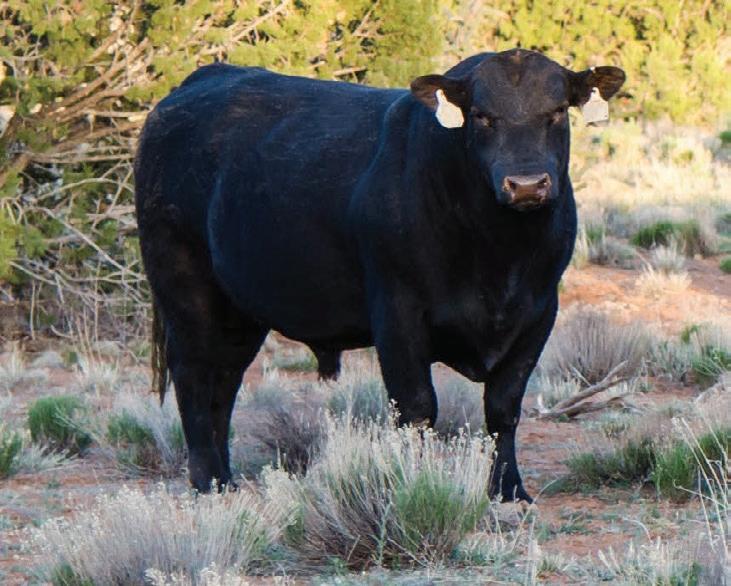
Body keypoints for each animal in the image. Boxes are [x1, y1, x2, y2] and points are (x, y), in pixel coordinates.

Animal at [134, 49, 625, 501]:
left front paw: (509, 491)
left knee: (224, 381)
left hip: (239, 308)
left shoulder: (538, 312)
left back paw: (226, 478)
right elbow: (417, 406)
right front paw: (419, 484)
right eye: (481, 116)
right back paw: (208, 482)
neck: (501, 257)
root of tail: (194, 85)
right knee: (194, 375)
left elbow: (503, 407)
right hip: (185, 288)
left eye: (556, 112)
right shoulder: (397, 311)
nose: (525, 185)